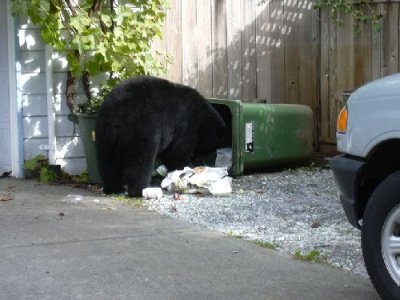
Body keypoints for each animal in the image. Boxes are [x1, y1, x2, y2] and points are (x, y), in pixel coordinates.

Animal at [94, 76, 225, 196]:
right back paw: (139, 190)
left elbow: (169, 154)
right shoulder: (186, 124)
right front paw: (190, 168)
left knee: (107, 162)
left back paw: (113, 188)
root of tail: (117, 113)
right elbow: (177, 153)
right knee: (139, 162)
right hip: (140, 128)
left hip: (104, 131)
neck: (202, 117)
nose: (199, 159)